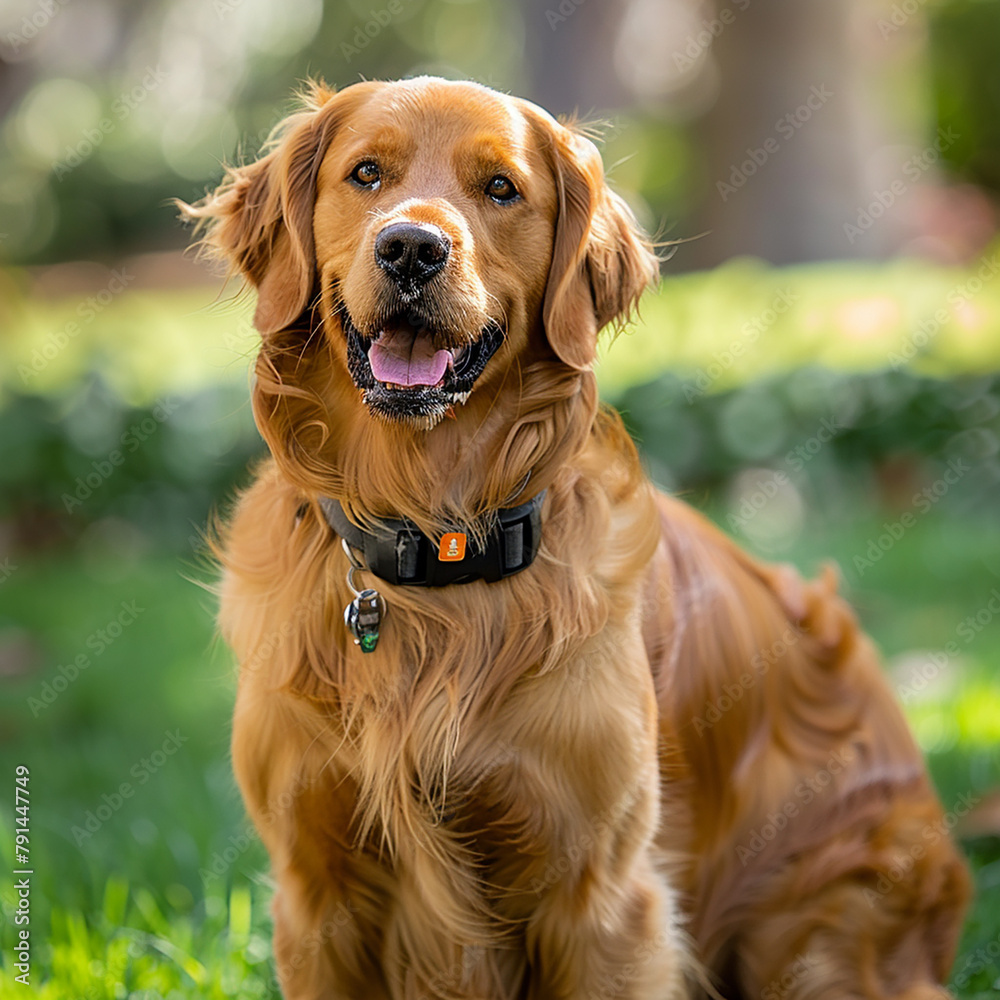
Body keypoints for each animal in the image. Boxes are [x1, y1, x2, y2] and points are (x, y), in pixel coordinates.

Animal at [180, 74, 968, 996]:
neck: (438, 542)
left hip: (820, 933)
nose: (411, 249)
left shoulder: (600, 895)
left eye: (500, 189)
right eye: (366, 173)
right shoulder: (317, 891)